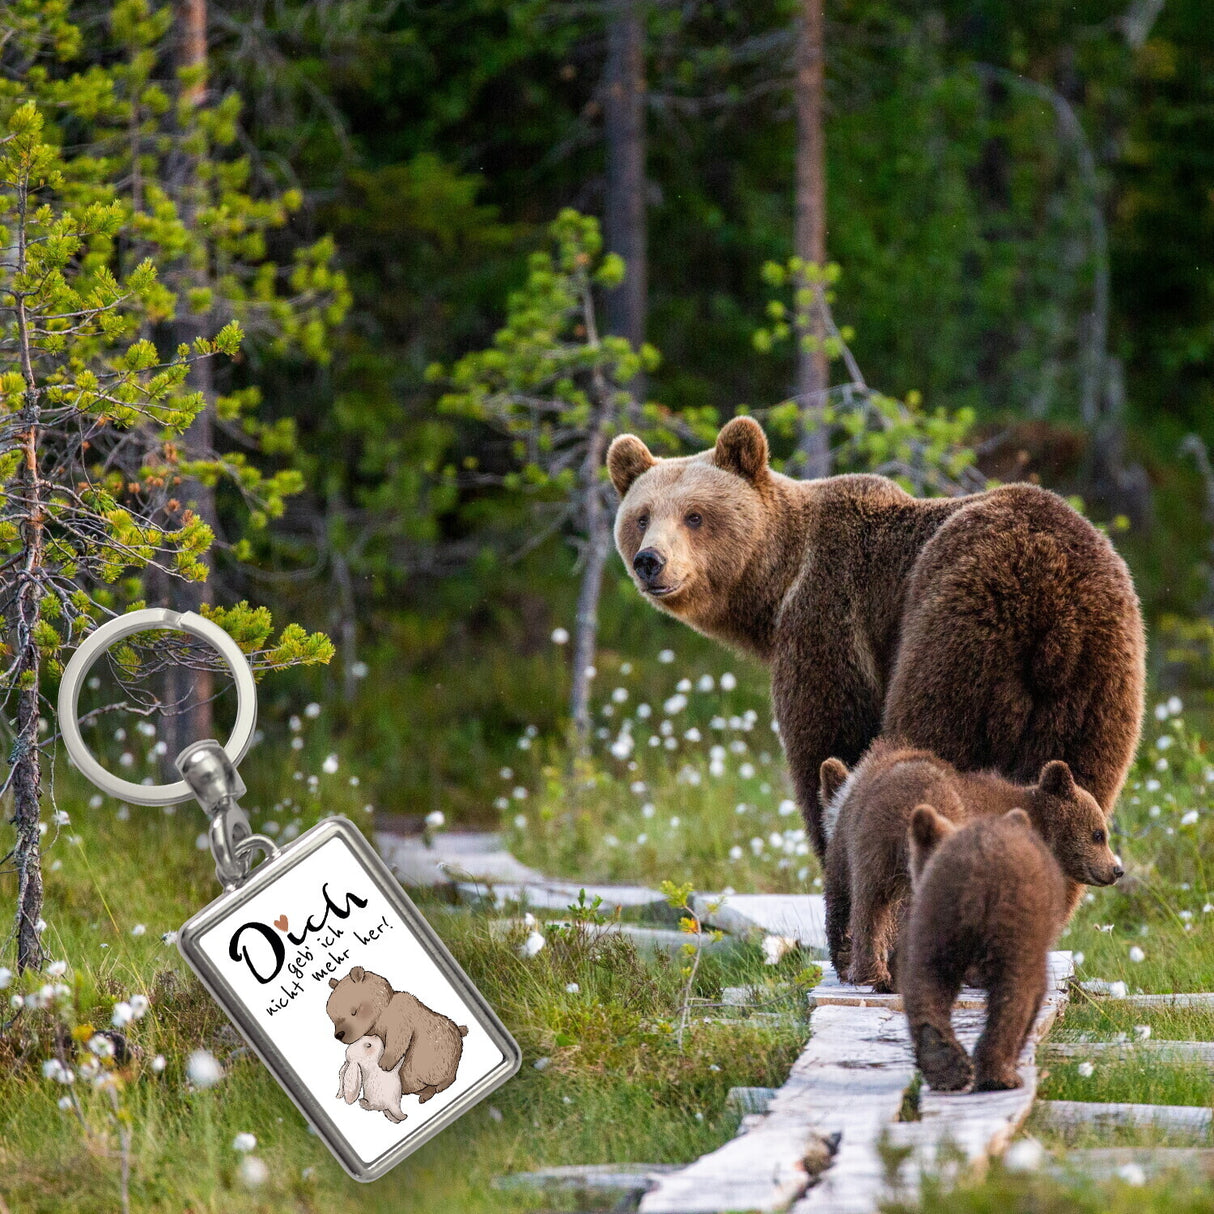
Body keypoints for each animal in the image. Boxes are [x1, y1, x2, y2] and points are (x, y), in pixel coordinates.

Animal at [326, 966, 469, 1104]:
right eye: (332, 1018)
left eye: (354, 1011)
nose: (339, 1035)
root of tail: (459, 1031)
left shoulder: (402, 1016)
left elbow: (397, 1038)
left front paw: (384, 1063)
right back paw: (424, 1094)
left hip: (442, 1056)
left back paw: (437, 1087)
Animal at [607, 416, 1145, 862]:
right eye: (642, 516)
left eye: (695, 515)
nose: (650, 561)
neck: (777, 586)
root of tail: (1055, 605)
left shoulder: (830, 617)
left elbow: (830, 738)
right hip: (1098, 682)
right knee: (1079, 782)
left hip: (961, 631)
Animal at [900, 805, 1098, 1092]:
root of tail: (976, 866)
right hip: (1016, 923)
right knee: (1016, 990)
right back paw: (999, 1074)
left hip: (937, 916)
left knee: (927, 981)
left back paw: (944, 1064)